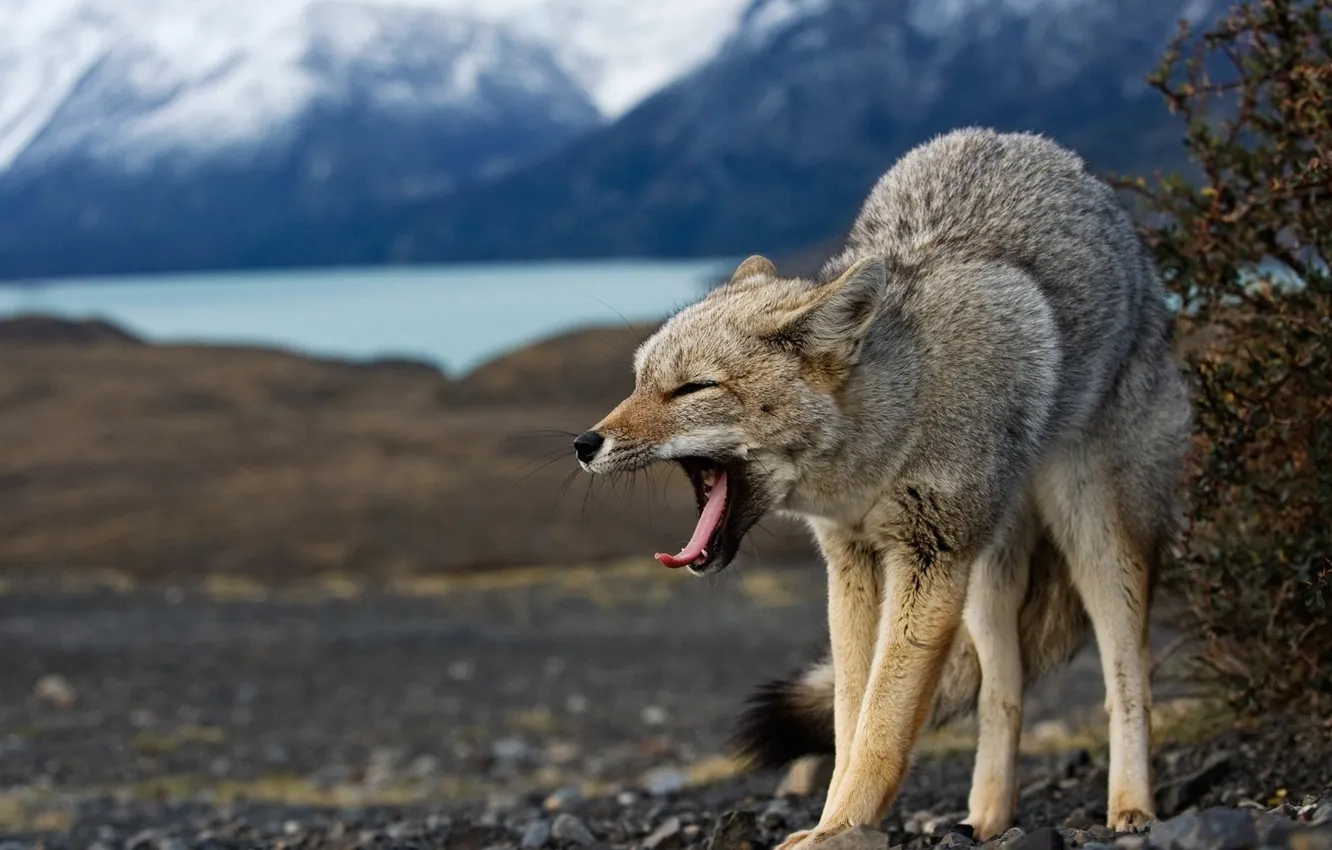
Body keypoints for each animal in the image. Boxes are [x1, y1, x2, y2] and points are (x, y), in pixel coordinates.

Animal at [572, 127, 1191, 849]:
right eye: (639, 382)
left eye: (693, 388)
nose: (583, 444)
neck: (889, 433)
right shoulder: (854, 562)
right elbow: (849, 716)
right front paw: (834, 820)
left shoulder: (931, 558)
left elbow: (882, 725)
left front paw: (838, 828)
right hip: (988, 578)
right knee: (1001, 693)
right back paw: (987, 817)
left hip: (1094, 540)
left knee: (1128, 679)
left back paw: (1132, 806)